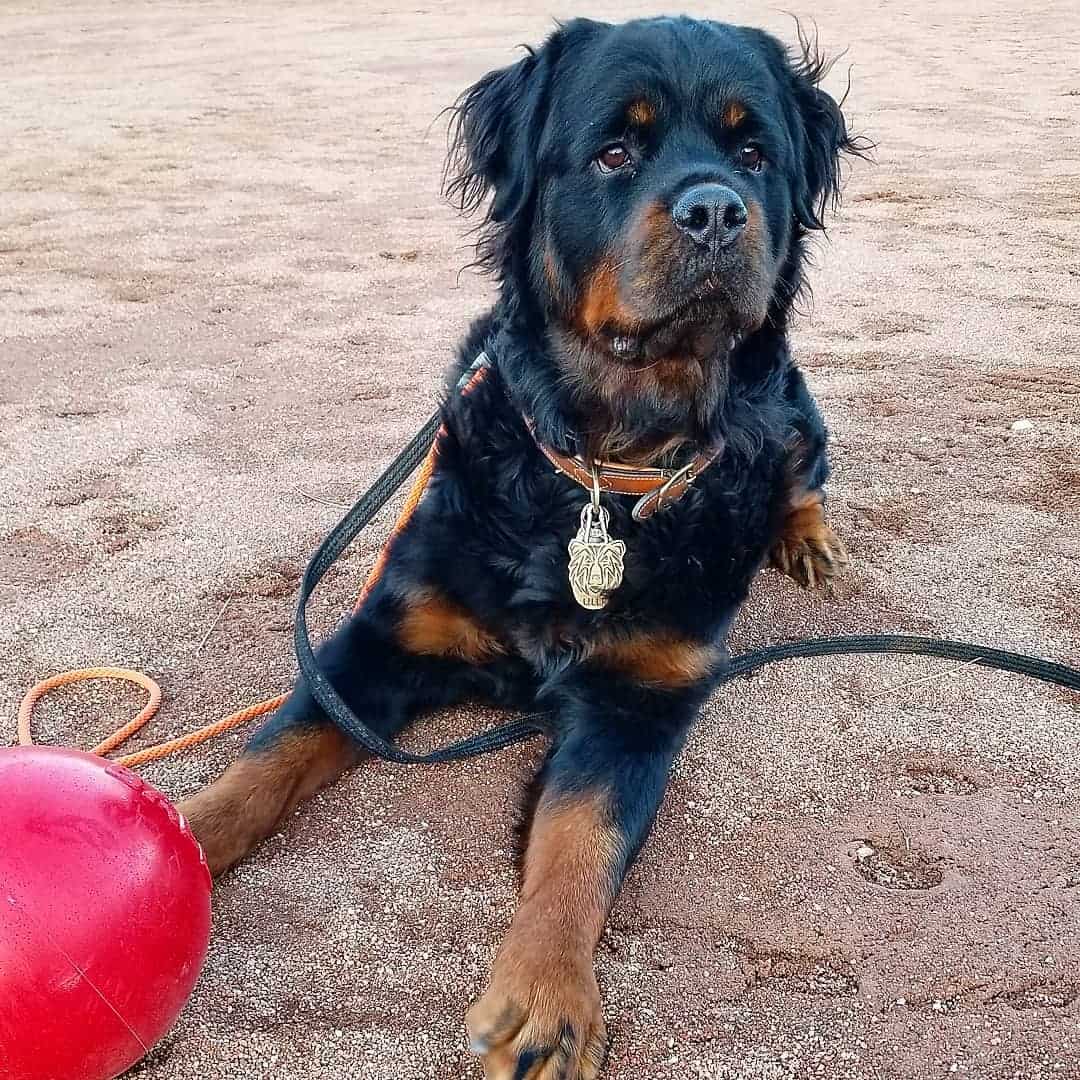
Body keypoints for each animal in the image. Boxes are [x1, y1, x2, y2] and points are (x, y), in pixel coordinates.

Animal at [181, 16, 864, 1080]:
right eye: (615, 151)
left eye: (755, 155)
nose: (718, 209)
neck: (601, 472)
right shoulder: (382, 640)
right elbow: (269, 754)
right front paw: (173, 839)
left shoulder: (640, 697)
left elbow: (581, 842)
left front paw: (546, 999)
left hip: (794, 407)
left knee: (805, 475)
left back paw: (807, 545)